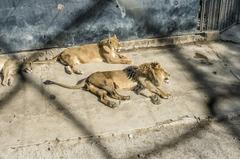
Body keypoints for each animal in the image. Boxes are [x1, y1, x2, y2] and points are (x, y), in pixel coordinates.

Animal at [43, 62, 171, 108]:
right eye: (165, 71)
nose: (169, 74)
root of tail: (87, 77)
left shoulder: (139, 87)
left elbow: (151, 91)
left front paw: (157, 97)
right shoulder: (144, 84)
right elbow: (156, 89)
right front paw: (164, 95)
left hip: (100, 89)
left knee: (102, 98)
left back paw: (113, 103)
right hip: (108, 82)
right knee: (113, 94)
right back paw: (123, 98)